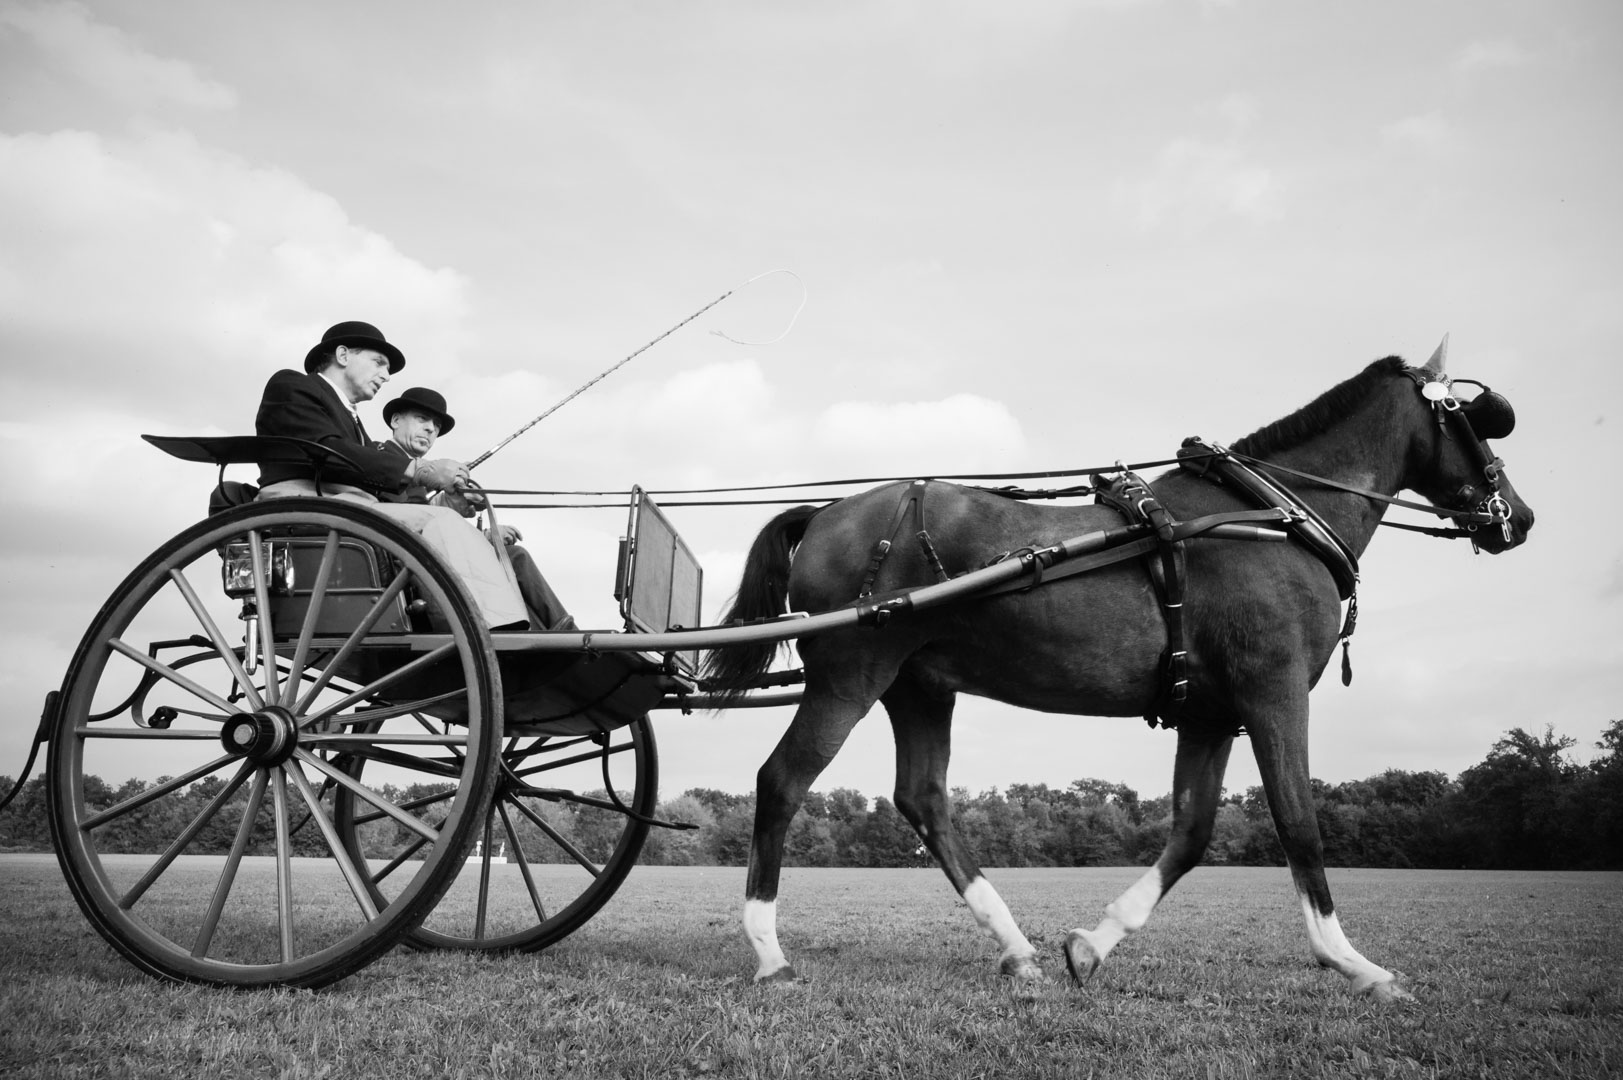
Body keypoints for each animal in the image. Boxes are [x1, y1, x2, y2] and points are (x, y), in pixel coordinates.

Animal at [704, 341, 1525, 1000]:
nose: (1517, 515)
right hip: (850, 677)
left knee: (923, 800)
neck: (1271, 515)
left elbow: (1191, 834)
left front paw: (1090, 946)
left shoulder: (1208, 713)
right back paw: (769, 954)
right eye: (1478, 417)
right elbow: (1298, 822)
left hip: (918, 687)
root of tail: (824, 513)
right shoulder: (1273, 691)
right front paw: (1350, 961)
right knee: (781, 783)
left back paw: (1016, 948)